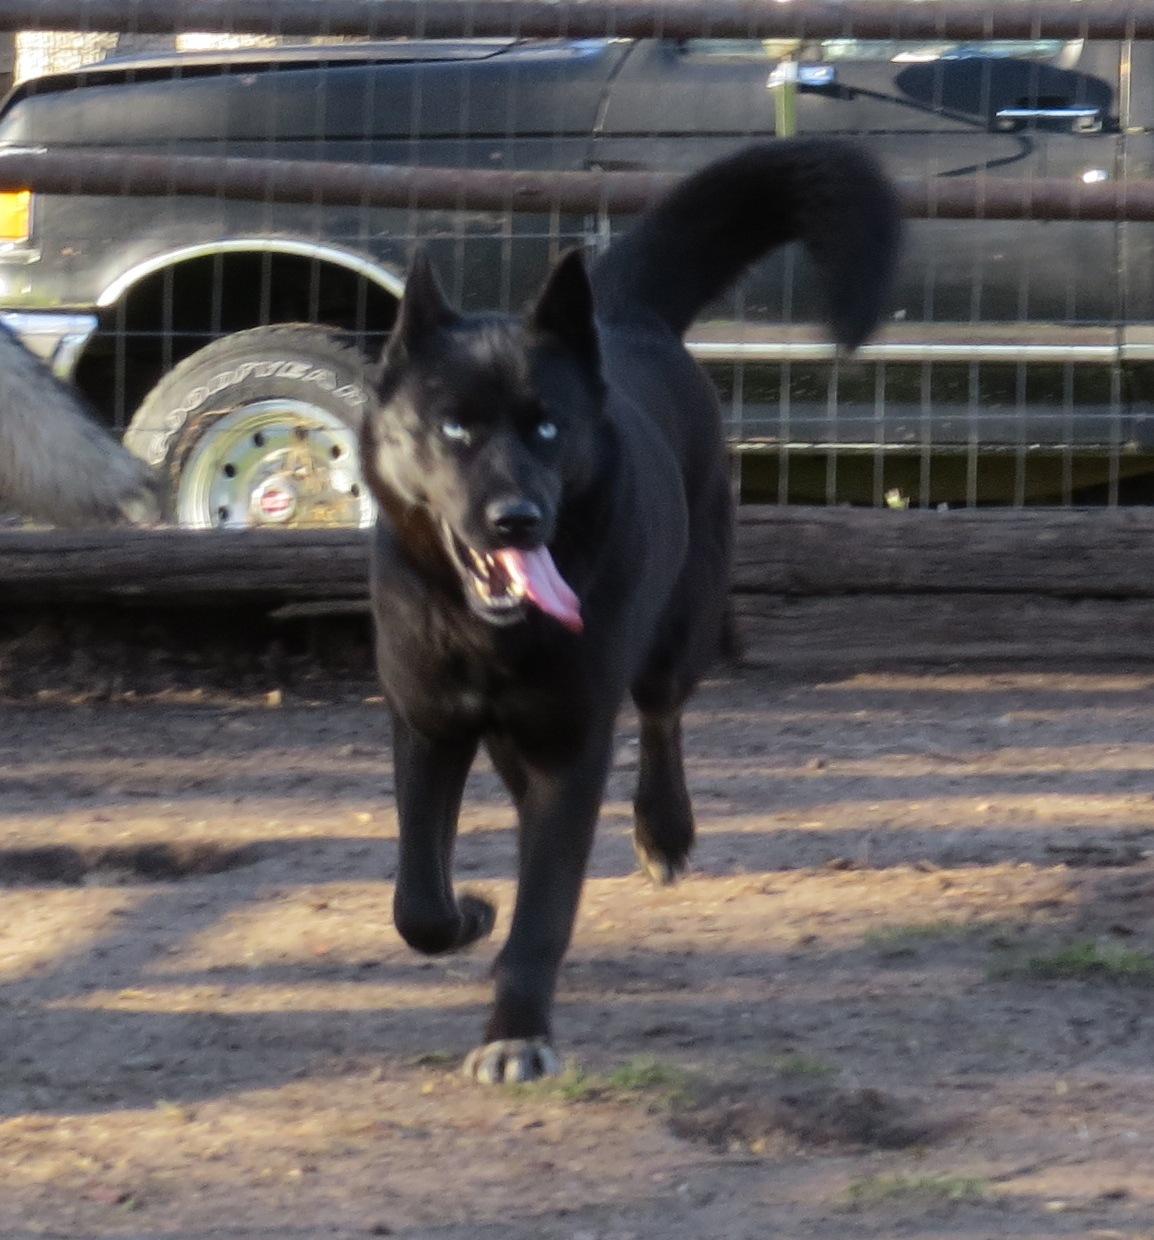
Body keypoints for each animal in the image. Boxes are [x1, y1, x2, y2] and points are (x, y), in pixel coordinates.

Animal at [361, 140, 902, 1081]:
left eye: (547, 428)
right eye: (453, 428)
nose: (517, 519)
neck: (487, 632)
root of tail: (622, 314)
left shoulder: (574, 741)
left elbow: (545, 904)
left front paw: (516, 1030)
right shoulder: (428, 725)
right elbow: (418, 902)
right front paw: (472, 915)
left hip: (675, 633)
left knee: (661, 718)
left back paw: (665, 831)